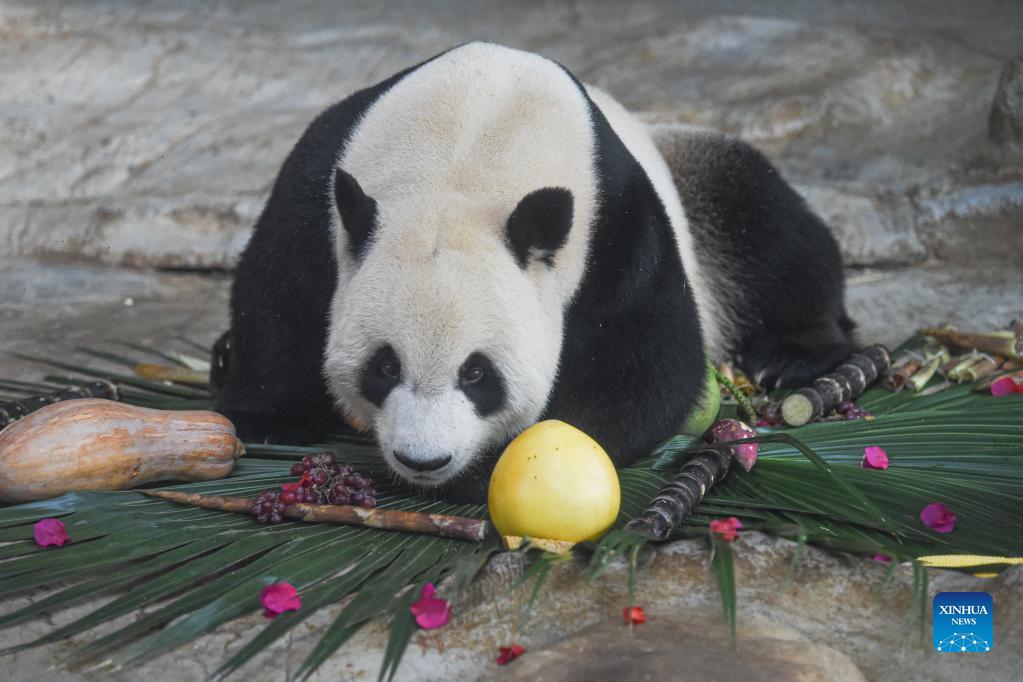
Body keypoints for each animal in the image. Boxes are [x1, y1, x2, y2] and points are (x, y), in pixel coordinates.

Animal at [212, 42, 855, 502]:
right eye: (384, 365)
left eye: (478, 374)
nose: (424, 460)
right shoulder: (325, 185)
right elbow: (278, 293)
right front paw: (265, 416)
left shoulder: (618, 228)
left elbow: (646, 372)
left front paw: (485, 470)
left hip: (699, 192)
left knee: (768, 226)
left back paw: (789, 354)